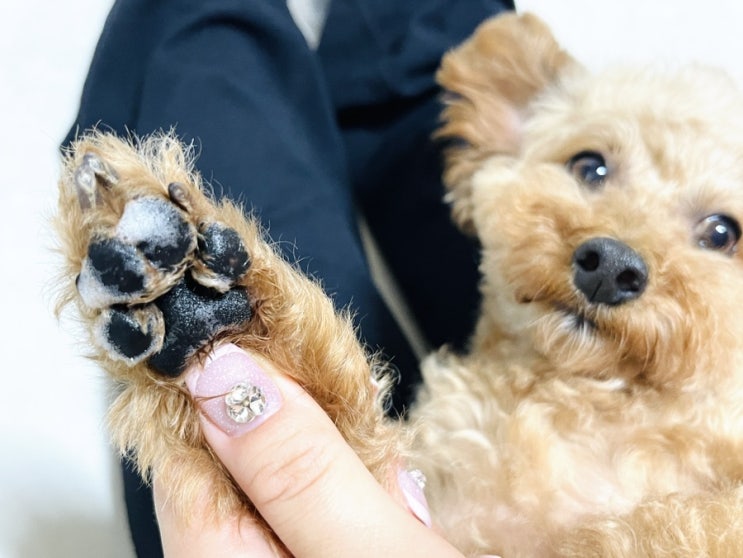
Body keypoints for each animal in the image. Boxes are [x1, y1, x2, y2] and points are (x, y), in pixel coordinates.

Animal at [55, 12, 743, 557]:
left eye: (722, 233)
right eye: (590, 166)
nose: (610, 263)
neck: (580, 404)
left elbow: (670, 529)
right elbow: (353, 439)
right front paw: (206, 310)